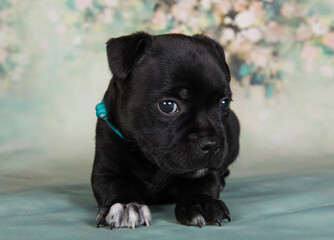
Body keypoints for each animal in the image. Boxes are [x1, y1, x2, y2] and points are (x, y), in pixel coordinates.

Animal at [90, 31, 239, 229]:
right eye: (168, 106)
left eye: (224, 104)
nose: (211, 144)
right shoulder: (106, 170)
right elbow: (115, 185)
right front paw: (126, 205)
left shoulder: (207, 173)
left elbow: (203, 184)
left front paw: (201, 204)